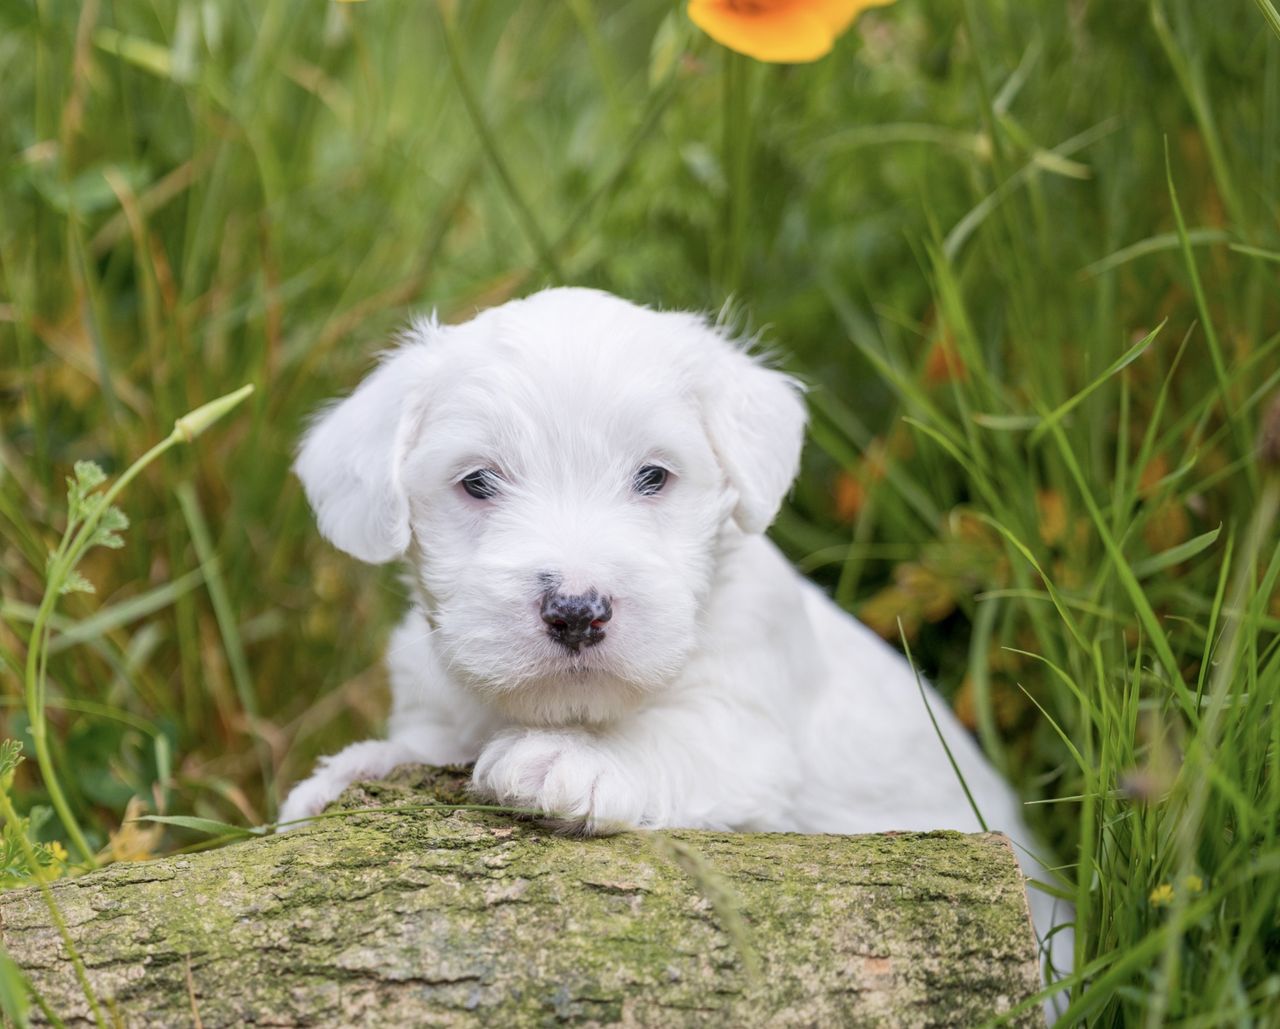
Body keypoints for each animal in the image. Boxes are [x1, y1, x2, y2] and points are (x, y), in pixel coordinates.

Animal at [285, 289, 1064, 972]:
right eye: (478, 482)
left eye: (653, 475)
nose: (577, 610)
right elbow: (420, 745)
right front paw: (344, 775)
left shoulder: (745, 725)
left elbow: (672, 735)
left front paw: (567, 758)